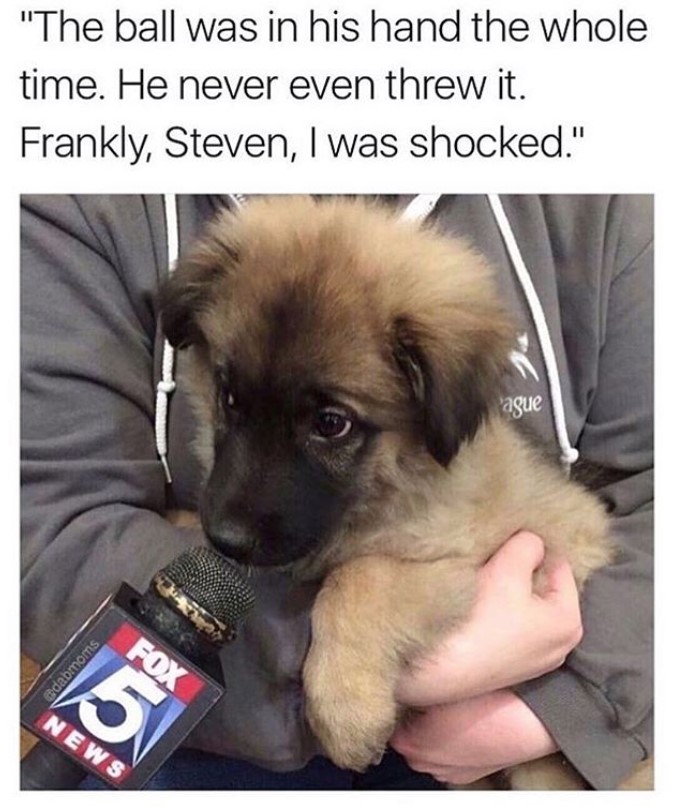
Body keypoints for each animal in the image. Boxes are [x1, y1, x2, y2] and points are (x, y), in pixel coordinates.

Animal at [160, 196, 612, 788]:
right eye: (229, 397)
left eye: (331, 423)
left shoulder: (508, 554)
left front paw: (346, 710)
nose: (226, 540)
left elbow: (359, 578)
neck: (386, 489)